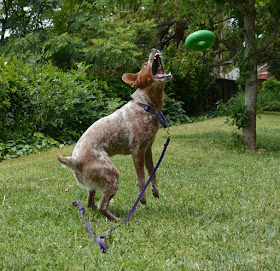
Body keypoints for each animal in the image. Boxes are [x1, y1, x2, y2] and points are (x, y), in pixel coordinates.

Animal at [58, 49, 172, 223]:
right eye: (144, 65)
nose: (154, 50)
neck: (145, 106)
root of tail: (75, 161)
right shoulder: (138, 151)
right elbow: (141, 179)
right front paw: (143, 199)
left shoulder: (148, 150)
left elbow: (152, 173)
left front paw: (155, 191)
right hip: (112, 175)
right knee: (101, 206)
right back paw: (119, 220)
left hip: (98, 182)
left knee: (90, 201)